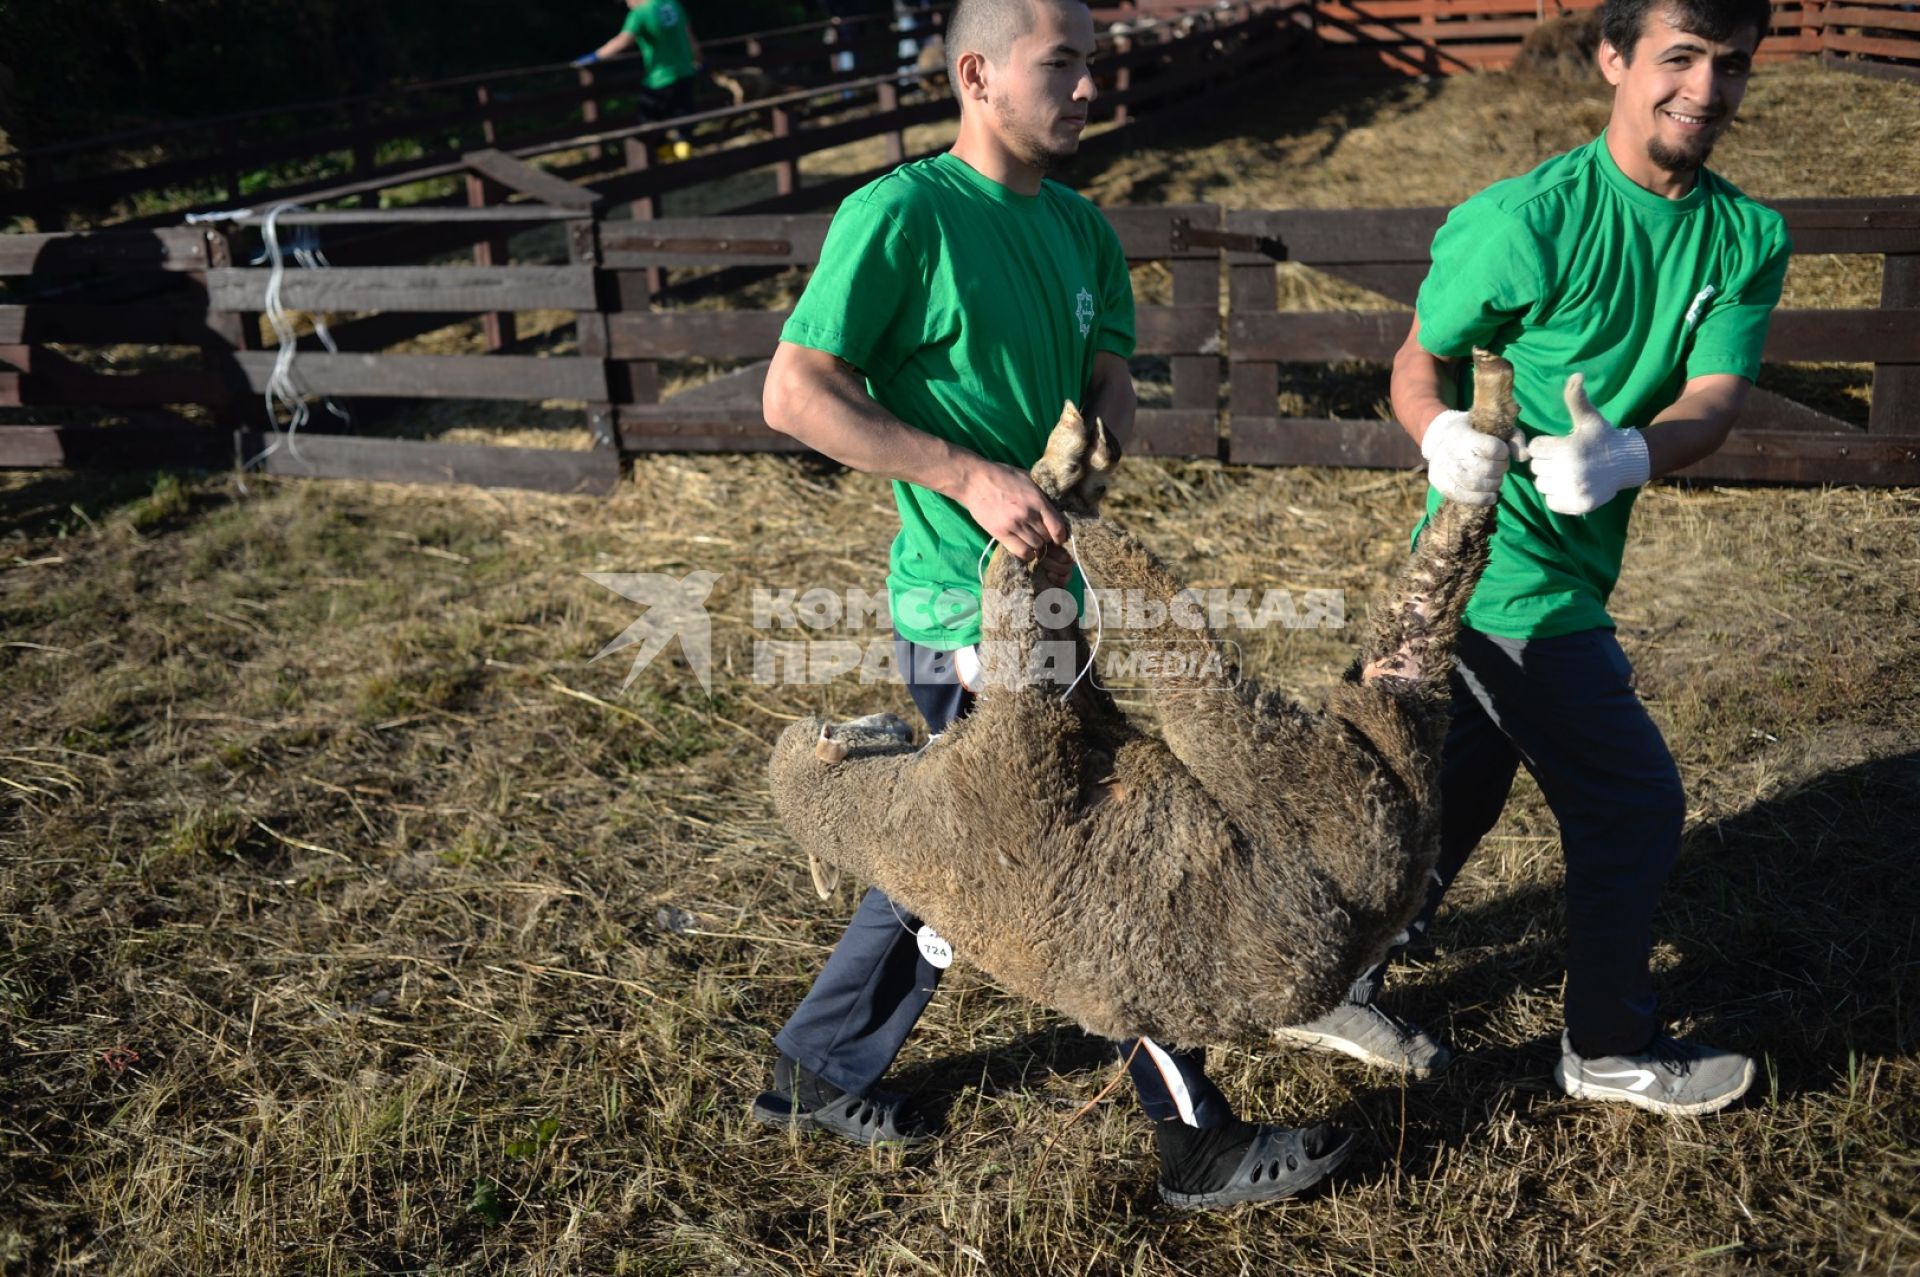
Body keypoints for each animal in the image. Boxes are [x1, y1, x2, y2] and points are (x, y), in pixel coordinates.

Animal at [764, 351, 1512, 1044]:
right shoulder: (1018, 740)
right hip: (1312, 783)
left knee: (1419, 619)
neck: (888, 818)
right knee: (1172, 623)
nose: (884, 717)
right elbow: (1012, 607)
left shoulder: (1066, 714)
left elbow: (1046, 625)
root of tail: (1383, 911)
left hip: (1384, 729)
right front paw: (1049, 485)